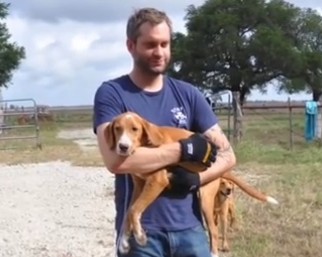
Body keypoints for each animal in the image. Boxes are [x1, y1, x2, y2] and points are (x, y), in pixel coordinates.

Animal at [104, 111, 280, 255]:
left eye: (135, 129)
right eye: (117, 129)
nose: (123, 147)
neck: (145, 144)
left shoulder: (157, 180)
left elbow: (134, 209)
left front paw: (140, 236)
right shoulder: (139, 185)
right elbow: (129, 211)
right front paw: (124, 242)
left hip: (206, 198)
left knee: (214, 230)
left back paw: (214, 253)